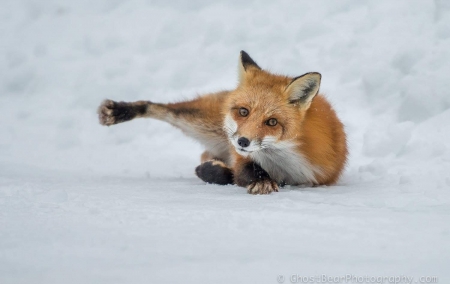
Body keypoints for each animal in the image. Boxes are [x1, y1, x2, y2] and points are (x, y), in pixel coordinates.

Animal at [97, 51, 348, 194]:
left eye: (272, 122)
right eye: (244, 111)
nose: (243, 141)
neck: (285, 159)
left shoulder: (320, 176)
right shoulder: (240, 157)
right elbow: (242, 173)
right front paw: (260, 180)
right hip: (203, 124)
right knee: (160, 108)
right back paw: (121, 110)